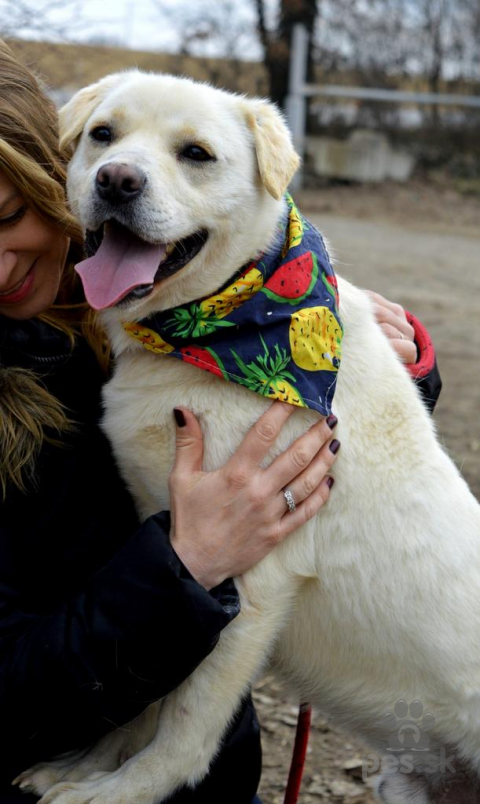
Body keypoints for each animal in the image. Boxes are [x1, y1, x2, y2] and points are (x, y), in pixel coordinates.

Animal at [15, 70, 480, 804]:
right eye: (103, 135)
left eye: (196, 154)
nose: (117, 180)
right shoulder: (181, 556)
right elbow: (146, 691)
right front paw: (89, 764)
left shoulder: (253, 581)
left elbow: (183, 721)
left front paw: (120, 790)